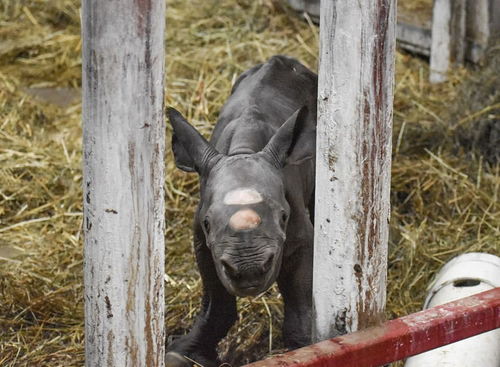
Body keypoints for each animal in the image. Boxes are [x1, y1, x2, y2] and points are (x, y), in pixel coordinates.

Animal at [167, 55, 316, 367]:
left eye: (283, 217)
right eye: (208, 223)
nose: (249, 270)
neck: (243, 151)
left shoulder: (299, 234)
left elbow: (300, 300)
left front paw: (304, 349)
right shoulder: (203, 240)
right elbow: (216, 300)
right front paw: (183, 355)